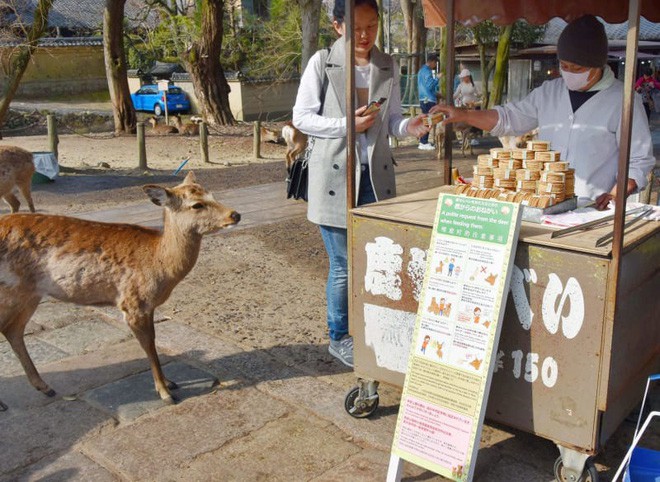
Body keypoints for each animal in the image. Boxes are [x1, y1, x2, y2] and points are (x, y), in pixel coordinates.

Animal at [0, 171, 241, 404]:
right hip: (11, 292)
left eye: (212, 194)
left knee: (12, 330)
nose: (235, 215)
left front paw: (170, 383)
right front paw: (165, 393)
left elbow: (154, 340)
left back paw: (45, 387)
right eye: (196, 204)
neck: (159, 264)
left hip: (30, 295)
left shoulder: (148, 306)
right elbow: (148, 345)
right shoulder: (132, 302)